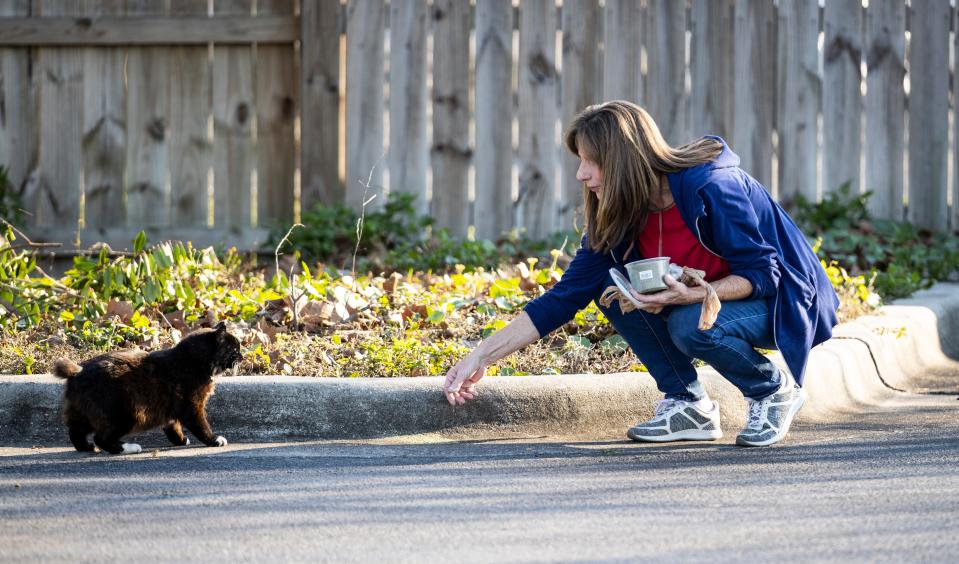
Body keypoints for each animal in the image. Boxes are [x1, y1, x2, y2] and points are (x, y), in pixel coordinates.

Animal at [51, 322, 244, 454]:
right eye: (235, 348)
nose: (242, 356)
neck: (192, 361)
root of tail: (77, 371)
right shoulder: (192, 406)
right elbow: (200, 425)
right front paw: (214, 439)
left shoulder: (170, 408)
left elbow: (173, 425)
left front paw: (181, 440)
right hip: (126, 415)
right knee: (102, 438)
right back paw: (128, 448)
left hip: (82, 414)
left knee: (75, 432)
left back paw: (87, 447)